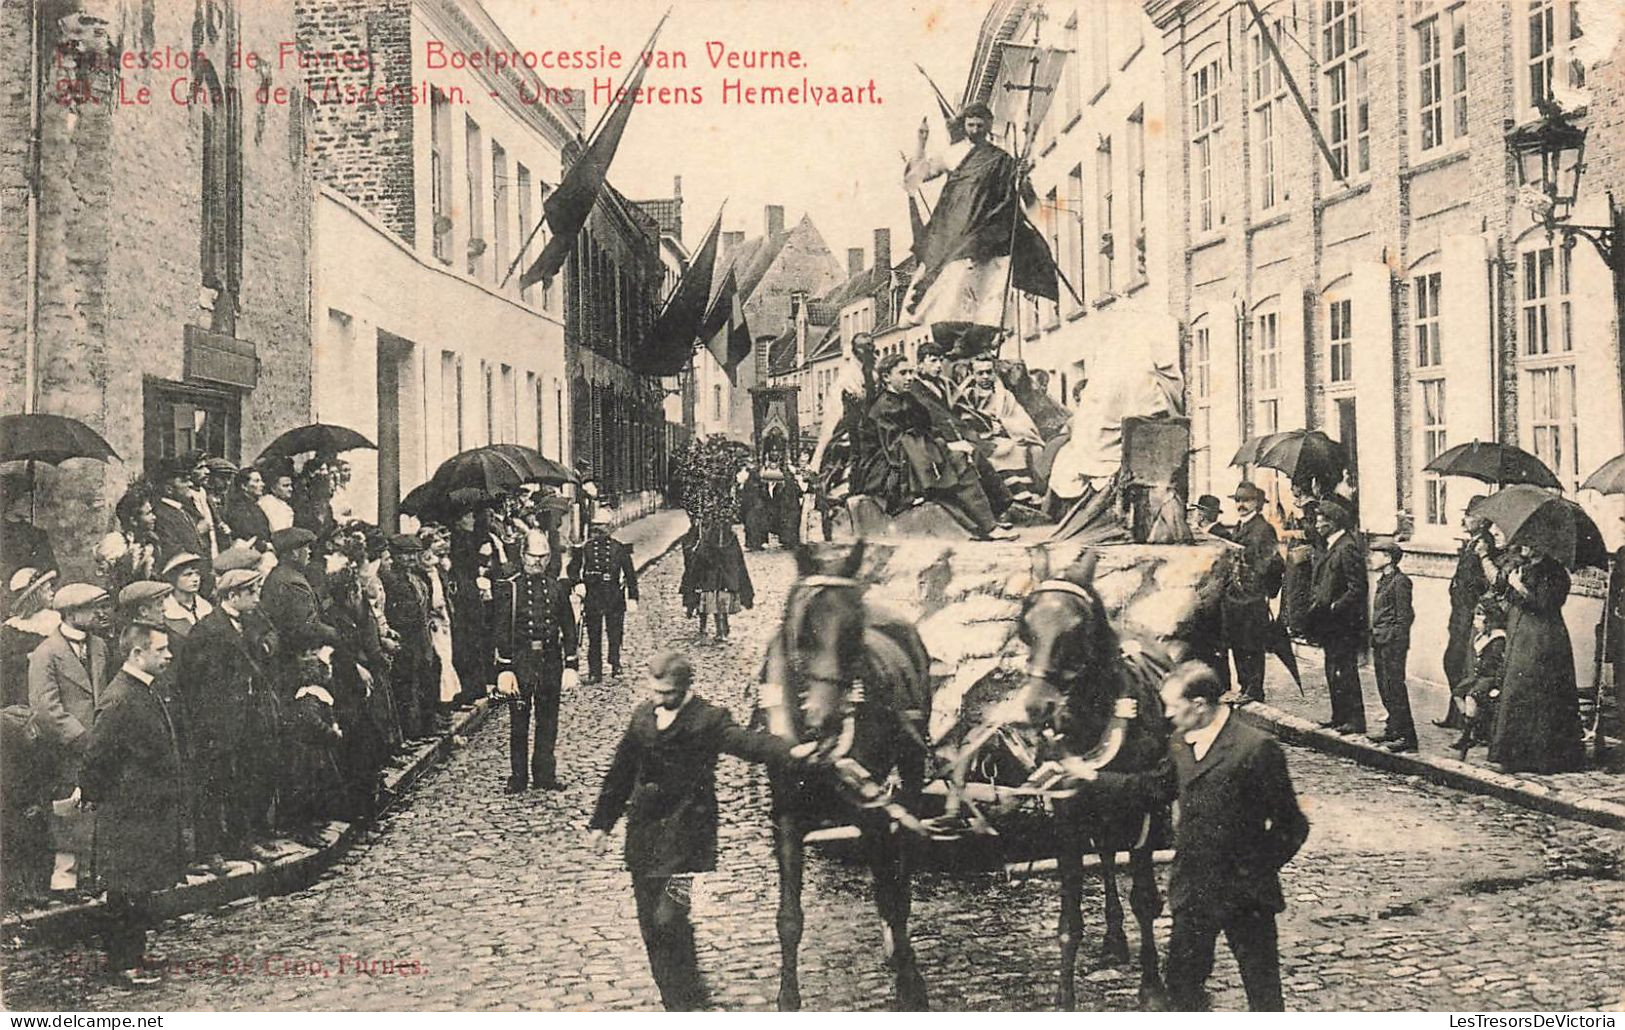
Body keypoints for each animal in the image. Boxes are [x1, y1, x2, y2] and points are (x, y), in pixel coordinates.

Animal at [760, 542, 942, 1007]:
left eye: (854, 631)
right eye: (802, 631)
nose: (822, 720)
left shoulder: (871, 812)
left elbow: (889, 895)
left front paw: (910, 985)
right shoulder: (787, 818)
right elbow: (788, 917)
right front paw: (788, 998)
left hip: (911, 769)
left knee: (903, 860)